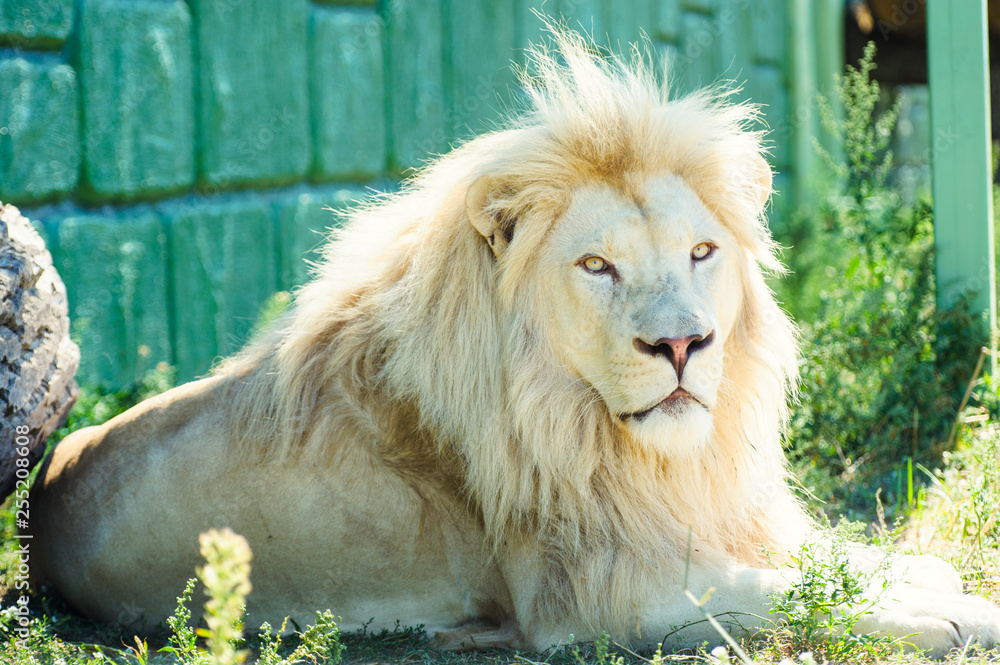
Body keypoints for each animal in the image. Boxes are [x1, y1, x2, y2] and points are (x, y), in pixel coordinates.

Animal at [29, 30, 1000, 657]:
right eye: (598, 265)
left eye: (701, 251)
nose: (684, 345)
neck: (620, 443)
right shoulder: (597, 597)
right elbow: (784, 591)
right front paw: (953, 617)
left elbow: (835, 560)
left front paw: (926, 575)